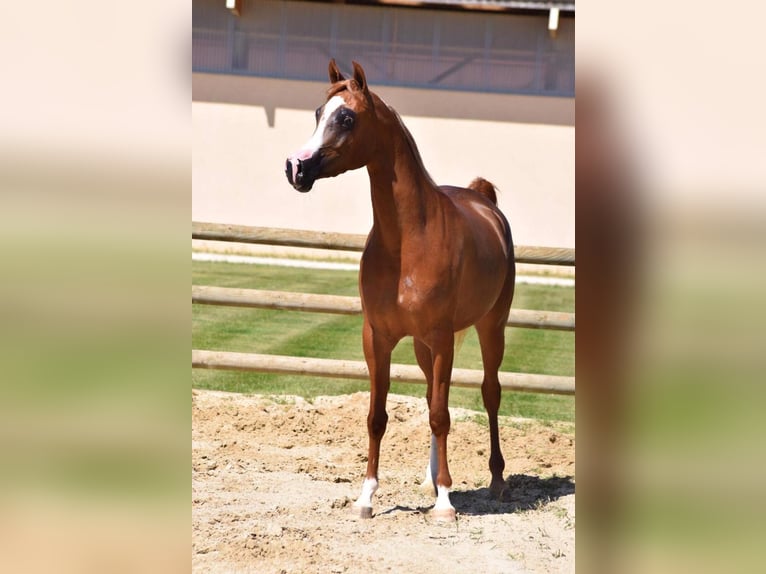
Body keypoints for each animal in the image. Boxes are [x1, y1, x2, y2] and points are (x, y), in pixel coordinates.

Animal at [285, 60, 515, 522]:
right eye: (319, 113)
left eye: (347, 118)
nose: (295, 168)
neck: (409, 241)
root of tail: (483, 199)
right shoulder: (378, 337)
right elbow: (378, 416)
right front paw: (366, 498)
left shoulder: (442, 338)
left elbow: (442, 415)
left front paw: (445, 504)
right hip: (426, 346)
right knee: (431, 396)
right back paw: (430, 480)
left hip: (489, 328)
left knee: (490, 393)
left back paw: (496, 481)